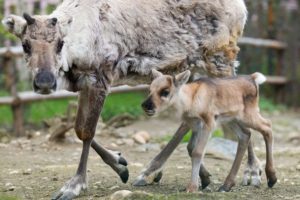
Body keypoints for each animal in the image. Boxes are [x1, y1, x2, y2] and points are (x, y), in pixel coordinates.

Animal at [142, 70, 278, 192]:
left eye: (165, 91)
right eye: (149, 90)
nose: (146, 105)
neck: (191, 100)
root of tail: (253, 78)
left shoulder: (208, 123)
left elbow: (197, 152)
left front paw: (192, 187)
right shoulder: (195, 126)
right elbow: (190, 148)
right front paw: (205, 180)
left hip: (248, 116)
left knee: (267, 126)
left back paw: (271, 178)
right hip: (231, 120)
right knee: (246, 135)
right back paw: (226, 185)